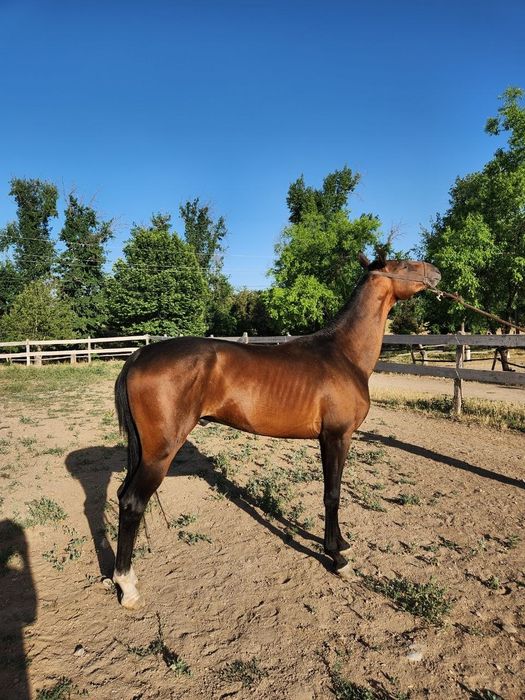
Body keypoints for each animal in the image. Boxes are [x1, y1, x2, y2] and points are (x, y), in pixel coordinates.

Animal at [112, 254, 441, 609]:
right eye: (404, 265)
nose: (436, 272)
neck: (343, 354)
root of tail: (140, 354)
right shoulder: (336, 437)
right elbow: (332, 494)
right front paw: (338, 558)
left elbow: (334, 492)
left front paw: (342, 543)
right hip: (160, 452)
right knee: (132, 502)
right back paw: (127, 586)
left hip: (143, 452)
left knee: (122, 495)